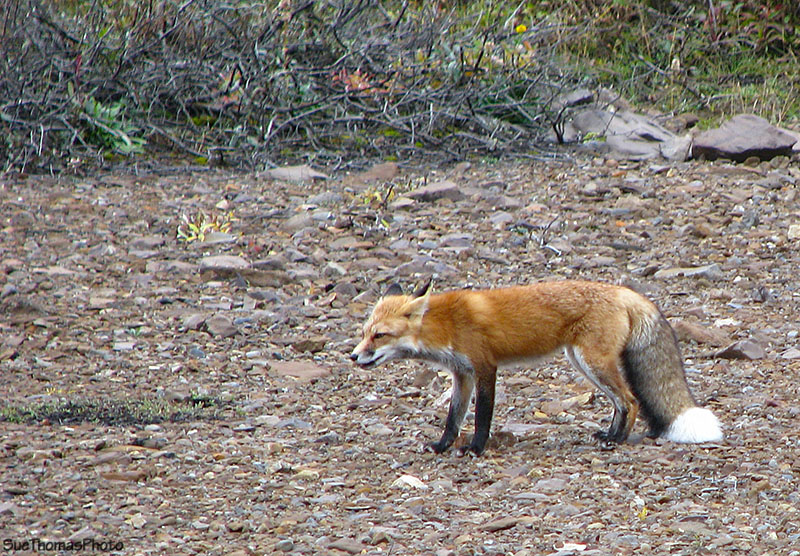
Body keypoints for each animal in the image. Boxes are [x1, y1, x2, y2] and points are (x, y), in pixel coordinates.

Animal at [350, 279, 722, 455]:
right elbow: (453, 418)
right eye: (364, 332)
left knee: (630, 400)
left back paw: (617, 441)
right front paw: (443, 446)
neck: (445, 325)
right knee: (621, 402)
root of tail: (623, 291)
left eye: (380, 336)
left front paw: (476, 449)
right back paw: (610, 434)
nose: (354, 357)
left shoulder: (485, 368)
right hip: (582, 363)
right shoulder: (462, 374)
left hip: (592, 362)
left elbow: (482, 416)